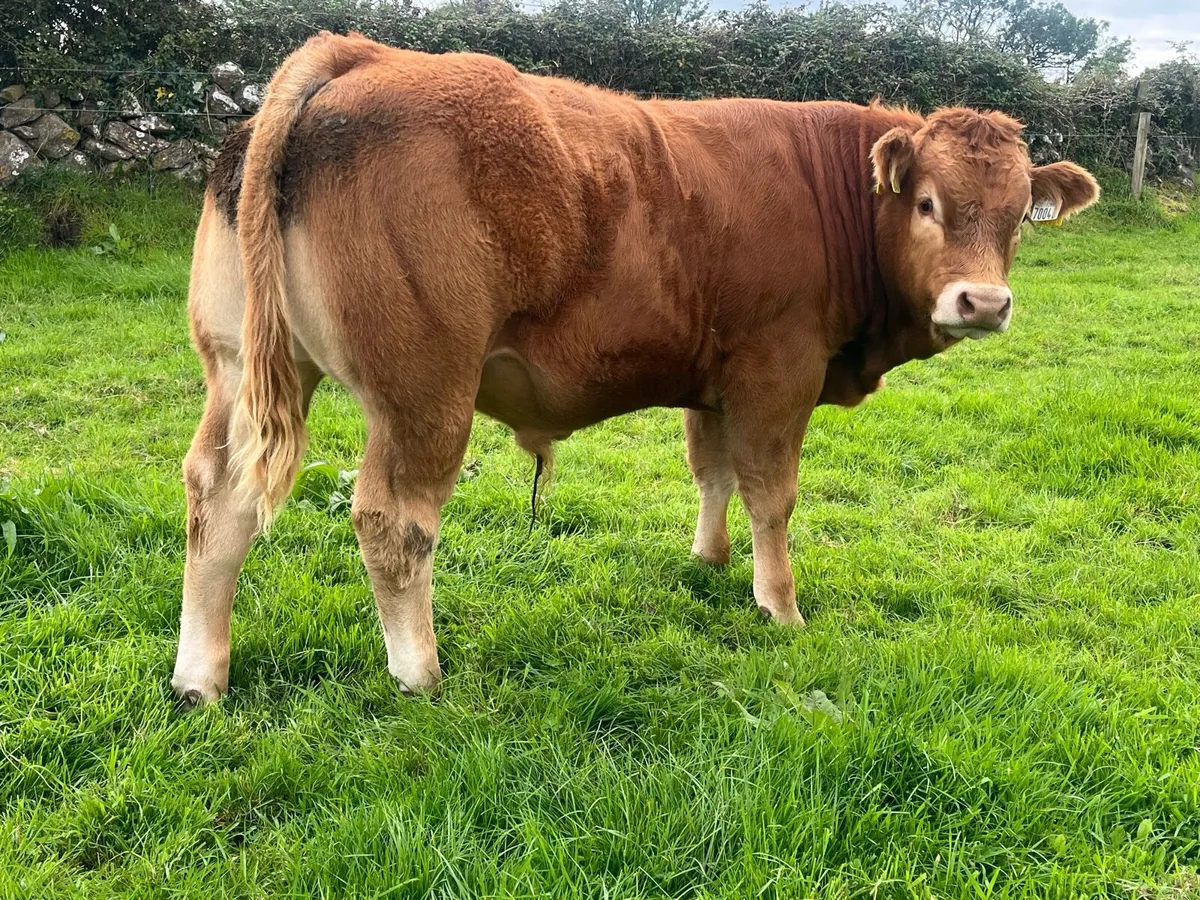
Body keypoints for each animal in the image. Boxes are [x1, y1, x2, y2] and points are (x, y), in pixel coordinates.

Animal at [171, 31, 1099, 705]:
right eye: (929, 203)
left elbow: (712, 472)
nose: (984, 302)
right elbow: (771, 496)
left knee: (220, 497)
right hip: (423, 392)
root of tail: (357, 55)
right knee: (393, 523)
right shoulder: (779, 372)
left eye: (1021, 214)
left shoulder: (715, 376)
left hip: (240, 370)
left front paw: (709, 561)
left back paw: (199, 677)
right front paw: (780, 605)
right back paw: (420, 673)